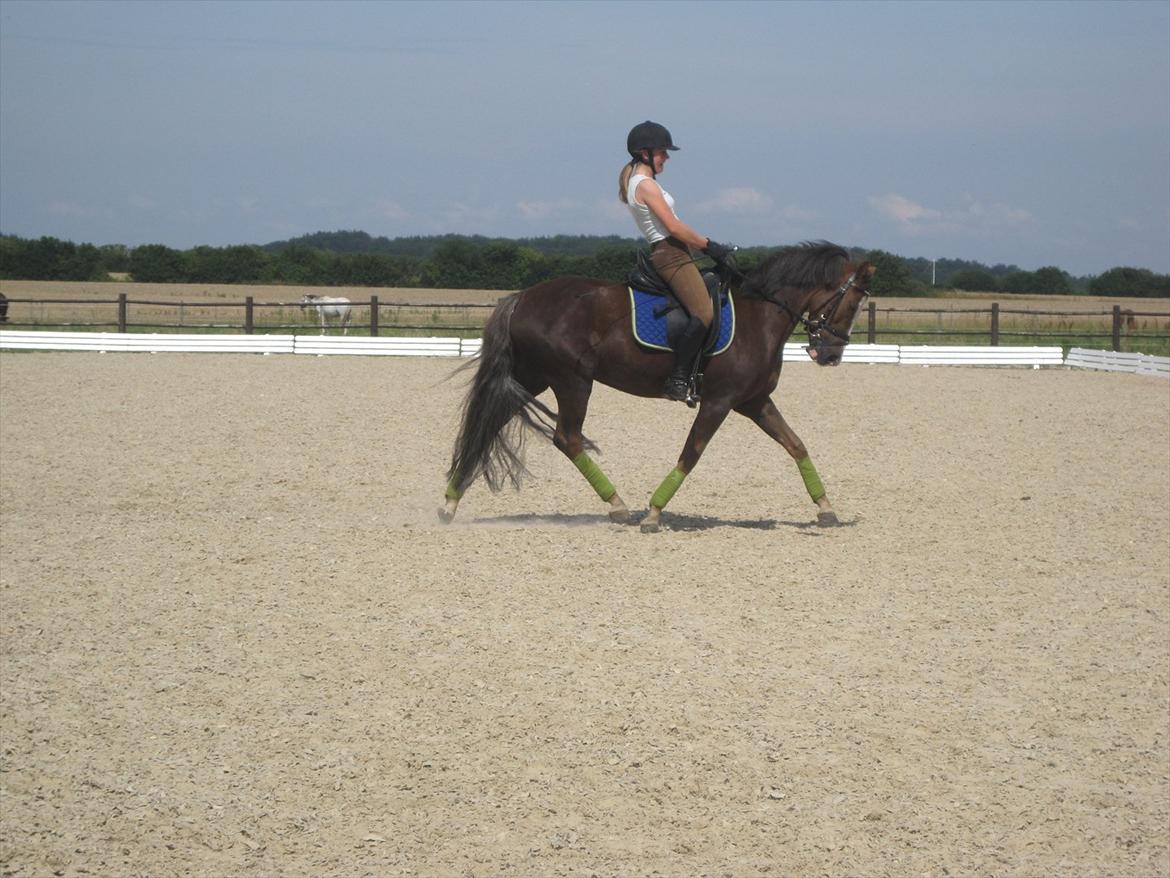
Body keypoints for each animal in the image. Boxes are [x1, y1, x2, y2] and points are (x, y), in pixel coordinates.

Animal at [440, 241, 875, 532]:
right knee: (568, 438)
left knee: (488, 425)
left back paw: (450, 503)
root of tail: (522, 297)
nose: (831, 354)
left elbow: (795, 444)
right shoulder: (720, 401)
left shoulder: (754, 401)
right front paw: (653, 513)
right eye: (852, 302)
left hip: (532, 377)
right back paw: (619, 506)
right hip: (571, 380)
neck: (761, 317)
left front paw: (826, 508)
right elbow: (691, 453)